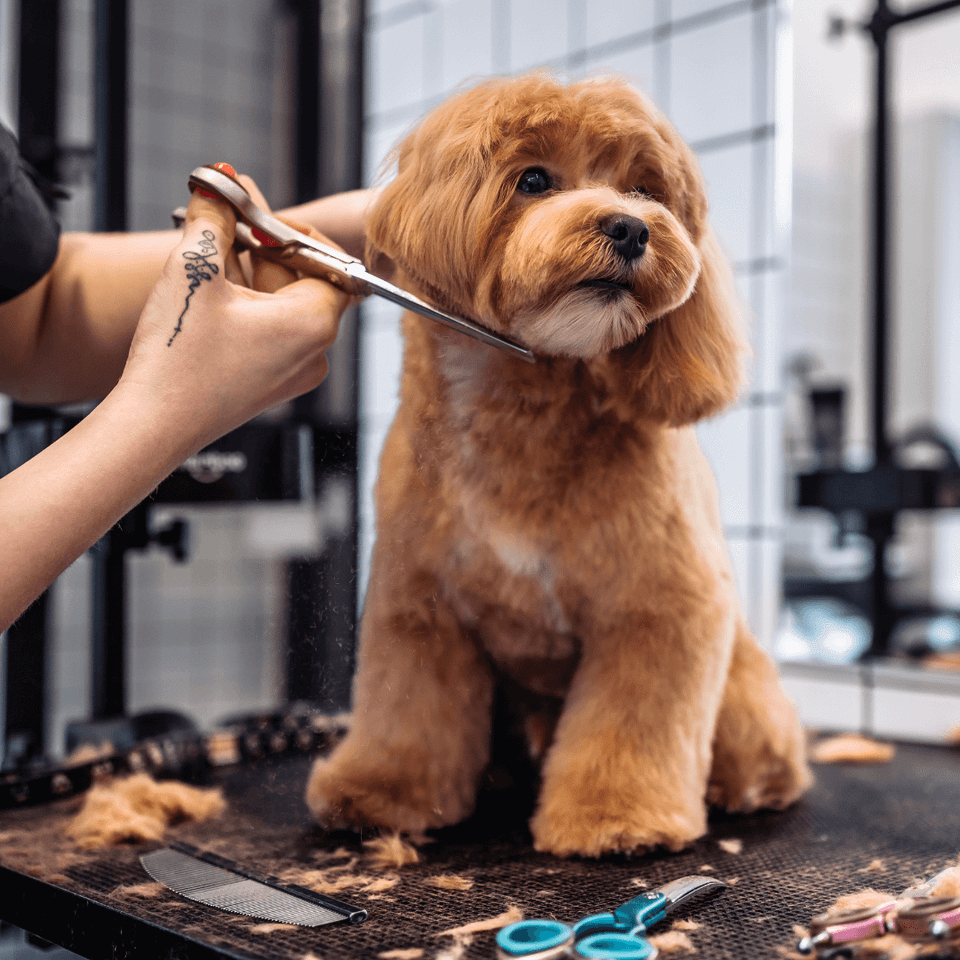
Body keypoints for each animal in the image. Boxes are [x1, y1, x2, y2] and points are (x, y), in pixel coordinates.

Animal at [306, 73, 808, 856]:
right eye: (534, 180)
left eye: (645, 189)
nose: (631, 228)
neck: (523, 415)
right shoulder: (418, 606)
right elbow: (405, 711)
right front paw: (382, 792)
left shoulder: (661, 606)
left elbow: (631, 724)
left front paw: (617, 817)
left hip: (743, 695)